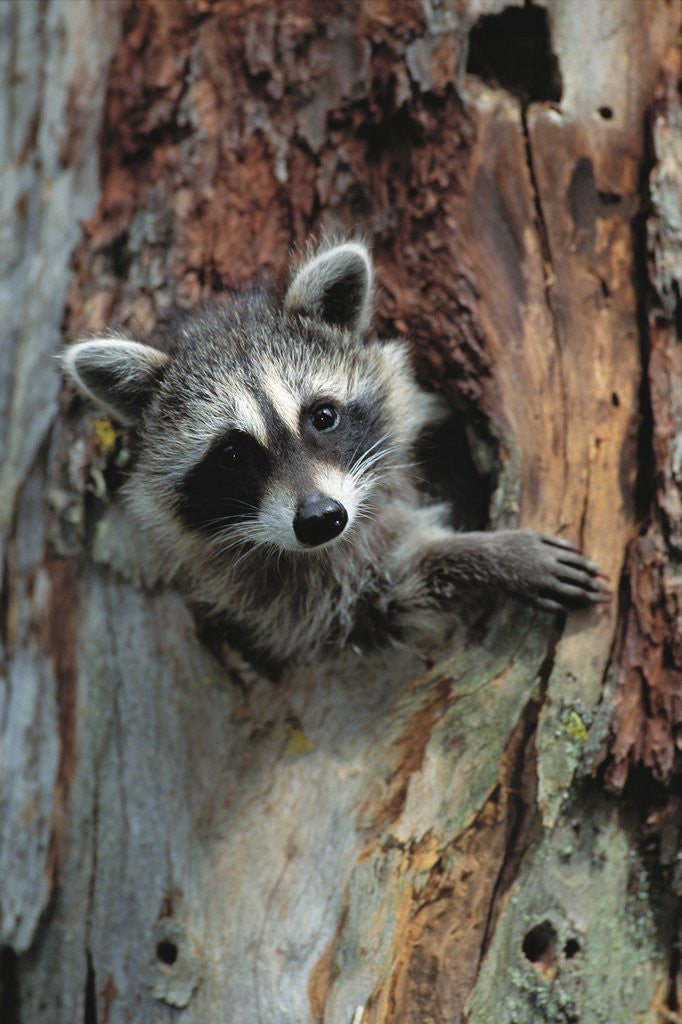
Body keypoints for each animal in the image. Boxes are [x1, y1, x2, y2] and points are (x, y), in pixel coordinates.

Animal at [63, 243, 606, 667]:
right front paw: (488, 556)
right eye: (232, 454)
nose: (322, 518)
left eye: (322, 416)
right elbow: (387, 597)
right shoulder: (280, 593)